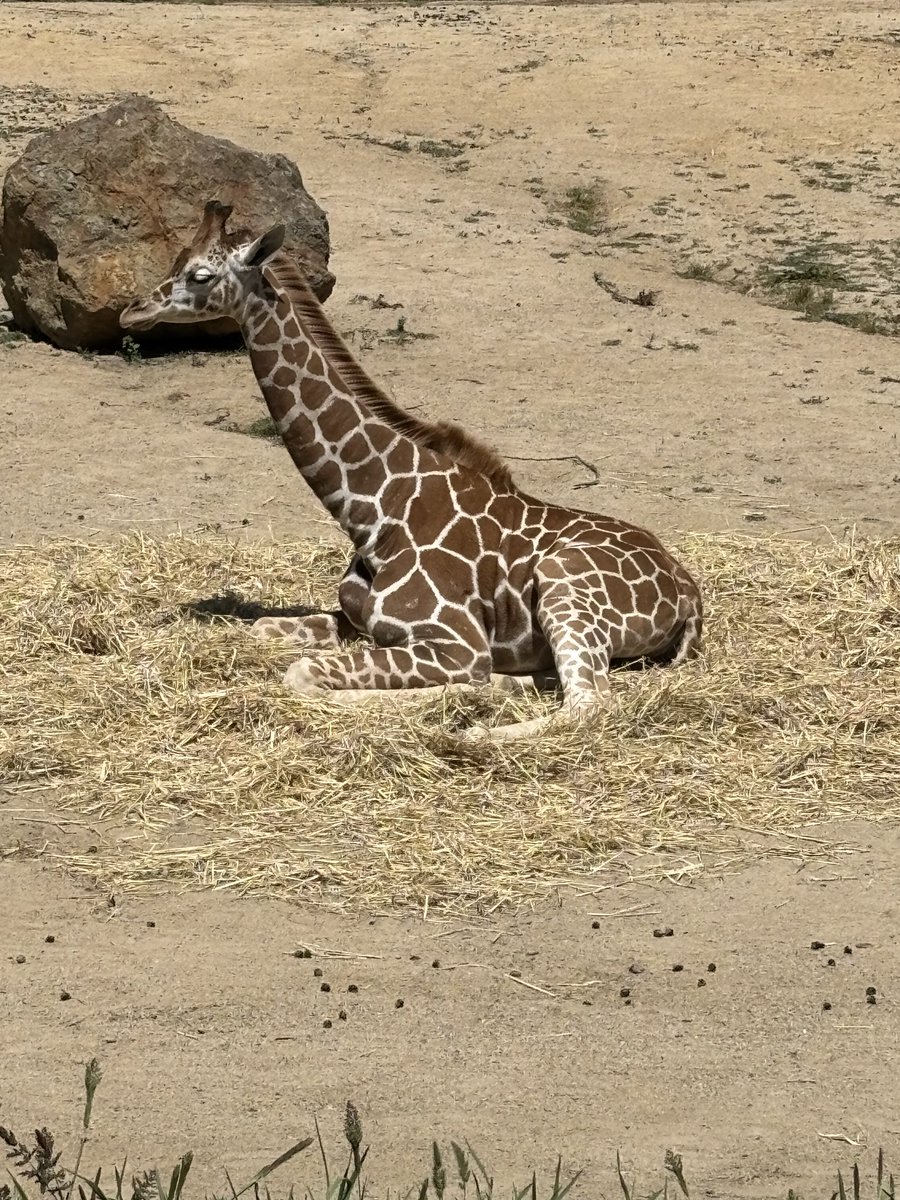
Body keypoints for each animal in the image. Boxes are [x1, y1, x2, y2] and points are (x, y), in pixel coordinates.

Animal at [118, 201, 705, 734]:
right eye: (176, 258)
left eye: (200, 274)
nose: (131, 312)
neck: (372, 510)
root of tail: (689, 591)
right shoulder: (356, 620)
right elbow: (262, 629)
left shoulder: (455, 642)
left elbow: (303, 674)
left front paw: (455, 699)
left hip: (566, 589)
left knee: (588, 704)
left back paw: (476, 727)